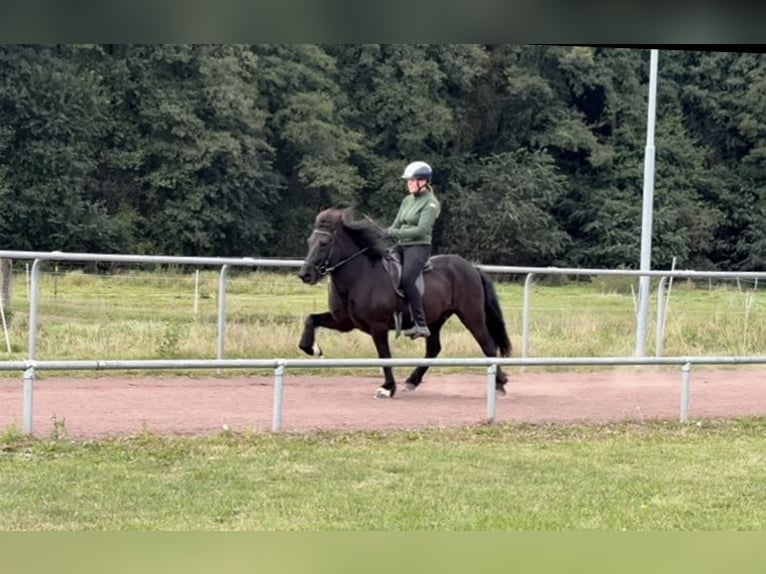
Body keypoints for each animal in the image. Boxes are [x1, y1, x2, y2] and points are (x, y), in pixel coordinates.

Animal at [297, 207, 512, 399]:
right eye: (309, 241)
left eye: (324, 243)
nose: (305, 274)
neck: (360, 276)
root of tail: (472, 268)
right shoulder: (343, 322)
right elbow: (311, 320)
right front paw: (312, 349)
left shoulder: (378, 327)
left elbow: (384, 356)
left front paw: (387, 388)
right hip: (435, 320)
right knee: (433, 349)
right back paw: (412, 381)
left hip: (471, 316)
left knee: (488, 346)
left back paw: (499, 385)